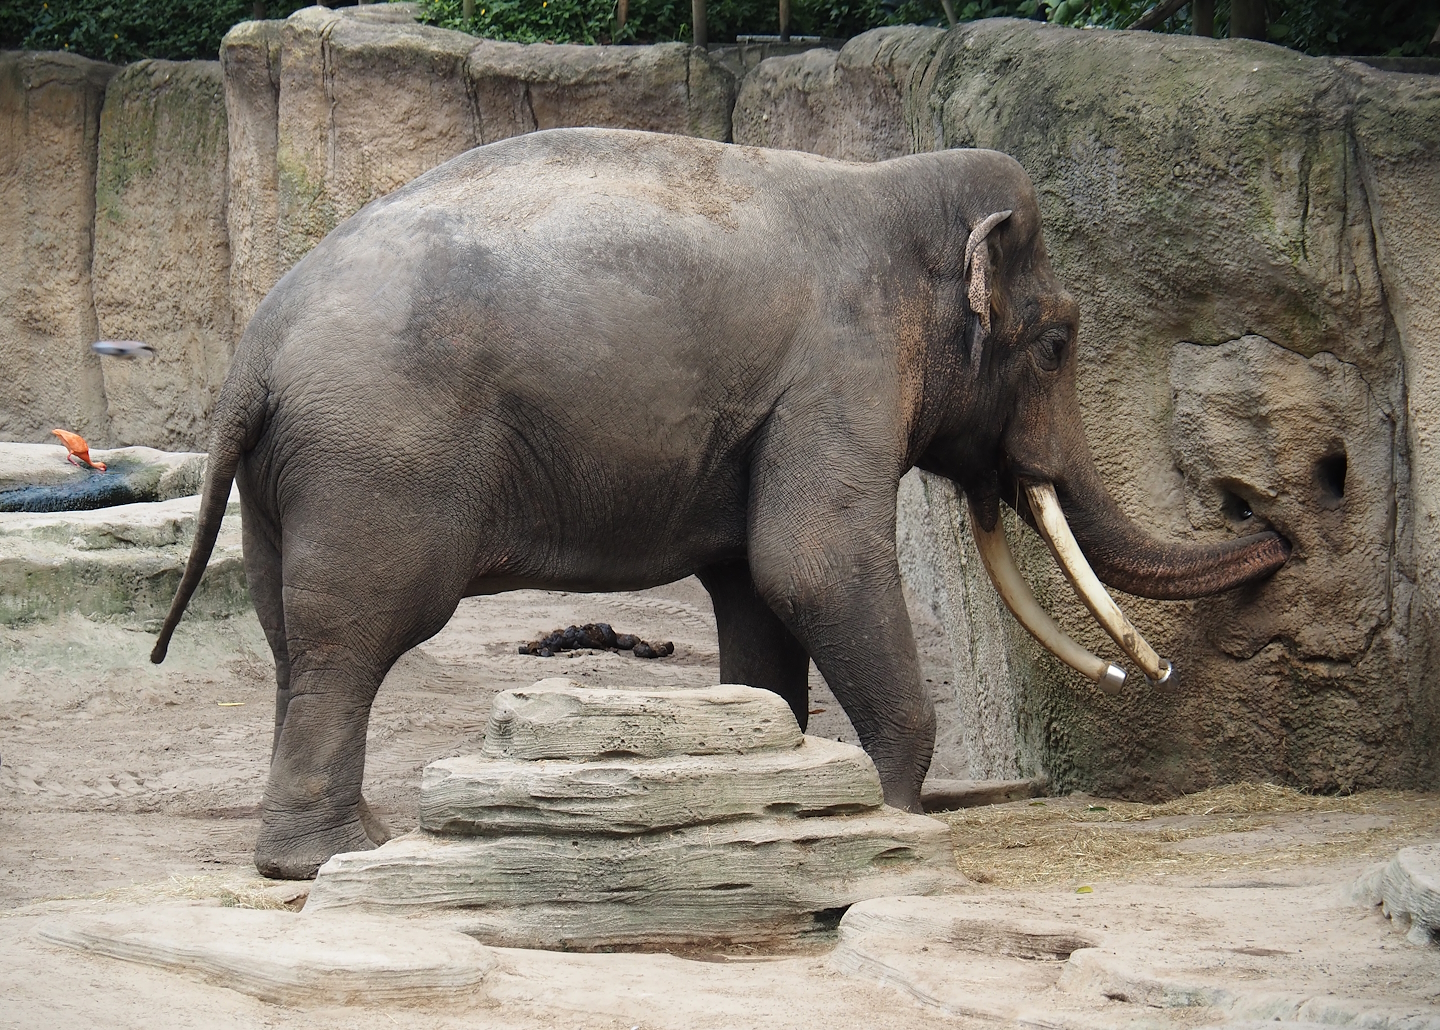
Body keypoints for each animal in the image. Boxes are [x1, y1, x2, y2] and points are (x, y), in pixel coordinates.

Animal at [151, 128, 1289, 879]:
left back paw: (336, 842)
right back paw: (329, 860)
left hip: (289, 480)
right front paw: (891, 821)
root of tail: (256, 349)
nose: (1264, 518)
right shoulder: (841, 369)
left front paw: (774, 802)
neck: (889, 188)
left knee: (290, 636)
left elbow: (757, 595)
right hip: (379, 456)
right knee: (356, 634)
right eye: (1056, 342)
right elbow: (812, 564)